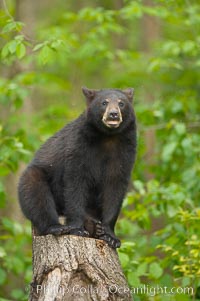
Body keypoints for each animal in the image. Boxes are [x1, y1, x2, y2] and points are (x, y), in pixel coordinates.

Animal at [18, 86, 136, 246]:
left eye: (121, 103)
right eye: (104, 102)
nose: (113, 114)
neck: (107, 137)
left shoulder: (124, 151)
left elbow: (115, 188)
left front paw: (111, 237)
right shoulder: (78, 146)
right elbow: (75, 184)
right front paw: (78, 229)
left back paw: (95, 226)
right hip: (34, 178)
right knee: (36, 196)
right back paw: (59, 227)